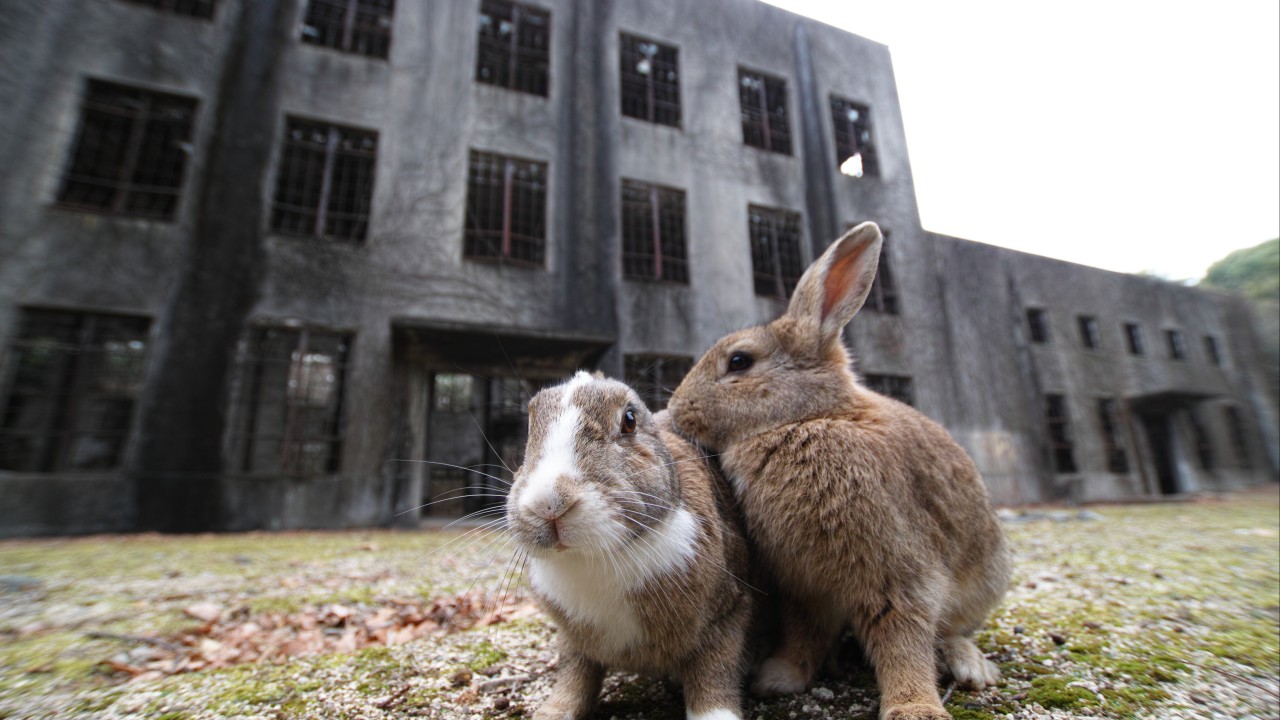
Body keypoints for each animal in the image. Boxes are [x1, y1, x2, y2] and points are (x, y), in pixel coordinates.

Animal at [506, 371, 755, 720]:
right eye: (530, 427)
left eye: (629, 421)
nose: (549, 504)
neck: (597, 558)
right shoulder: (575, 642)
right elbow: (573, 676)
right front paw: (554, 712)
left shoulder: (728, 614)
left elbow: (713, 677)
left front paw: (716, 716)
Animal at [666, 222, 1012, 720]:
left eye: (739, 361)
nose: (676, 410)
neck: (806, 418)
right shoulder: (803, 584)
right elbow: (805, 630)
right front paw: (779, 678)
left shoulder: (894, 571)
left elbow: (901, 638)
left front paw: (914, 708)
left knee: (952, 630)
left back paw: (970, 666)